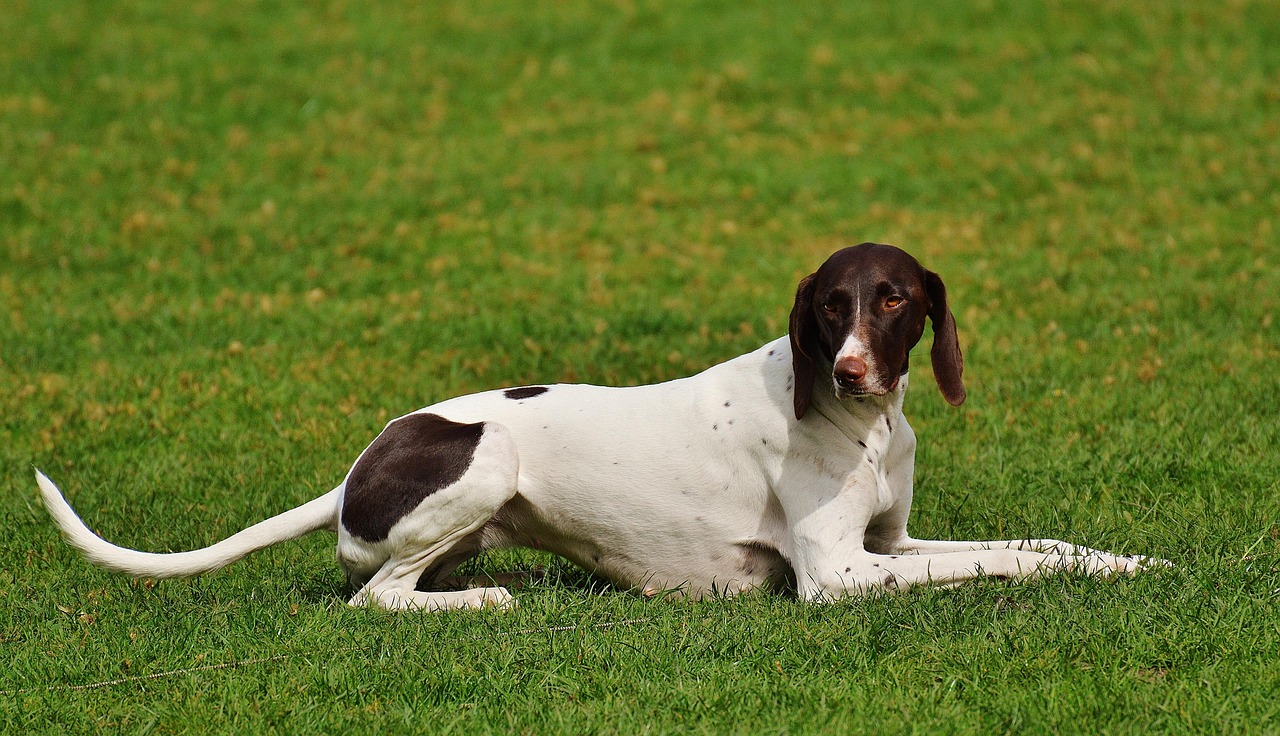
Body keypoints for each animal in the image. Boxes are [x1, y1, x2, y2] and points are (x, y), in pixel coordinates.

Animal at [37, 243, 1162, 609]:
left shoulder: (893, 539)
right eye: (828, 307)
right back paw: (488, 600)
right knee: (378, 599)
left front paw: (1125, 560)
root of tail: (360, 463)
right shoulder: (841, 574)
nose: (848, 368)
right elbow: (995, 561)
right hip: (485, 459)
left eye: (894, 300)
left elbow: (1033, 542)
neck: (868, 425)